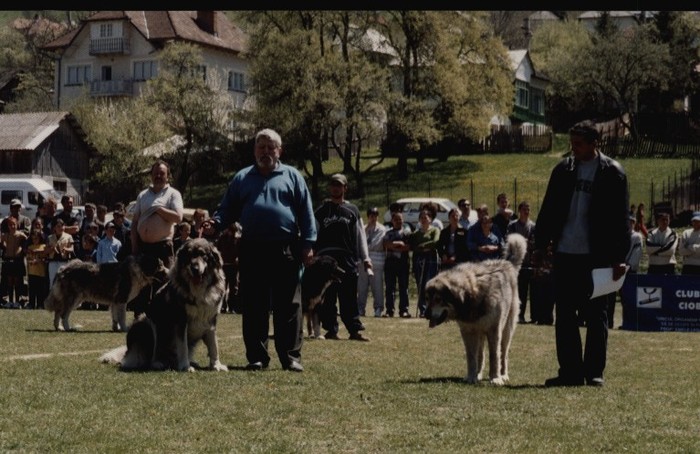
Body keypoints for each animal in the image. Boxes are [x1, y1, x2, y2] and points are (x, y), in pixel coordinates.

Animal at [101, 238, 228, 372]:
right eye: (188, 256)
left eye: (203, 255)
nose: (194, 268)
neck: (199, 289)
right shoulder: (181, 321)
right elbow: (183, 346)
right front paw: (185, 366)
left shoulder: (211, 320)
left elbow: (214, 346)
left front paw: (216, 365)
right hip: (147, 322)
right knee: (151, 356)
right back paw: (159, 363)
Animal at [424, 232, 528, 384]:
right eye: (428, 299)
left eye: (438, 299)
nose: (425, 315)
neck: (472, 297)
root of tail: (507, 263)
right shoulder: (468, 331)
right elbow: (471, 357)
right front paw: (471, 377)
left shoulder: (494, 330)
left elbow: (494, 356)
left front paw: (495, 378)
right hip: (480, 333)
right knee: (480, 355)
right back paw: (478, 374)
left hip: (507, 330)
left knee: (504, 354)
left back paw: (503, 375)